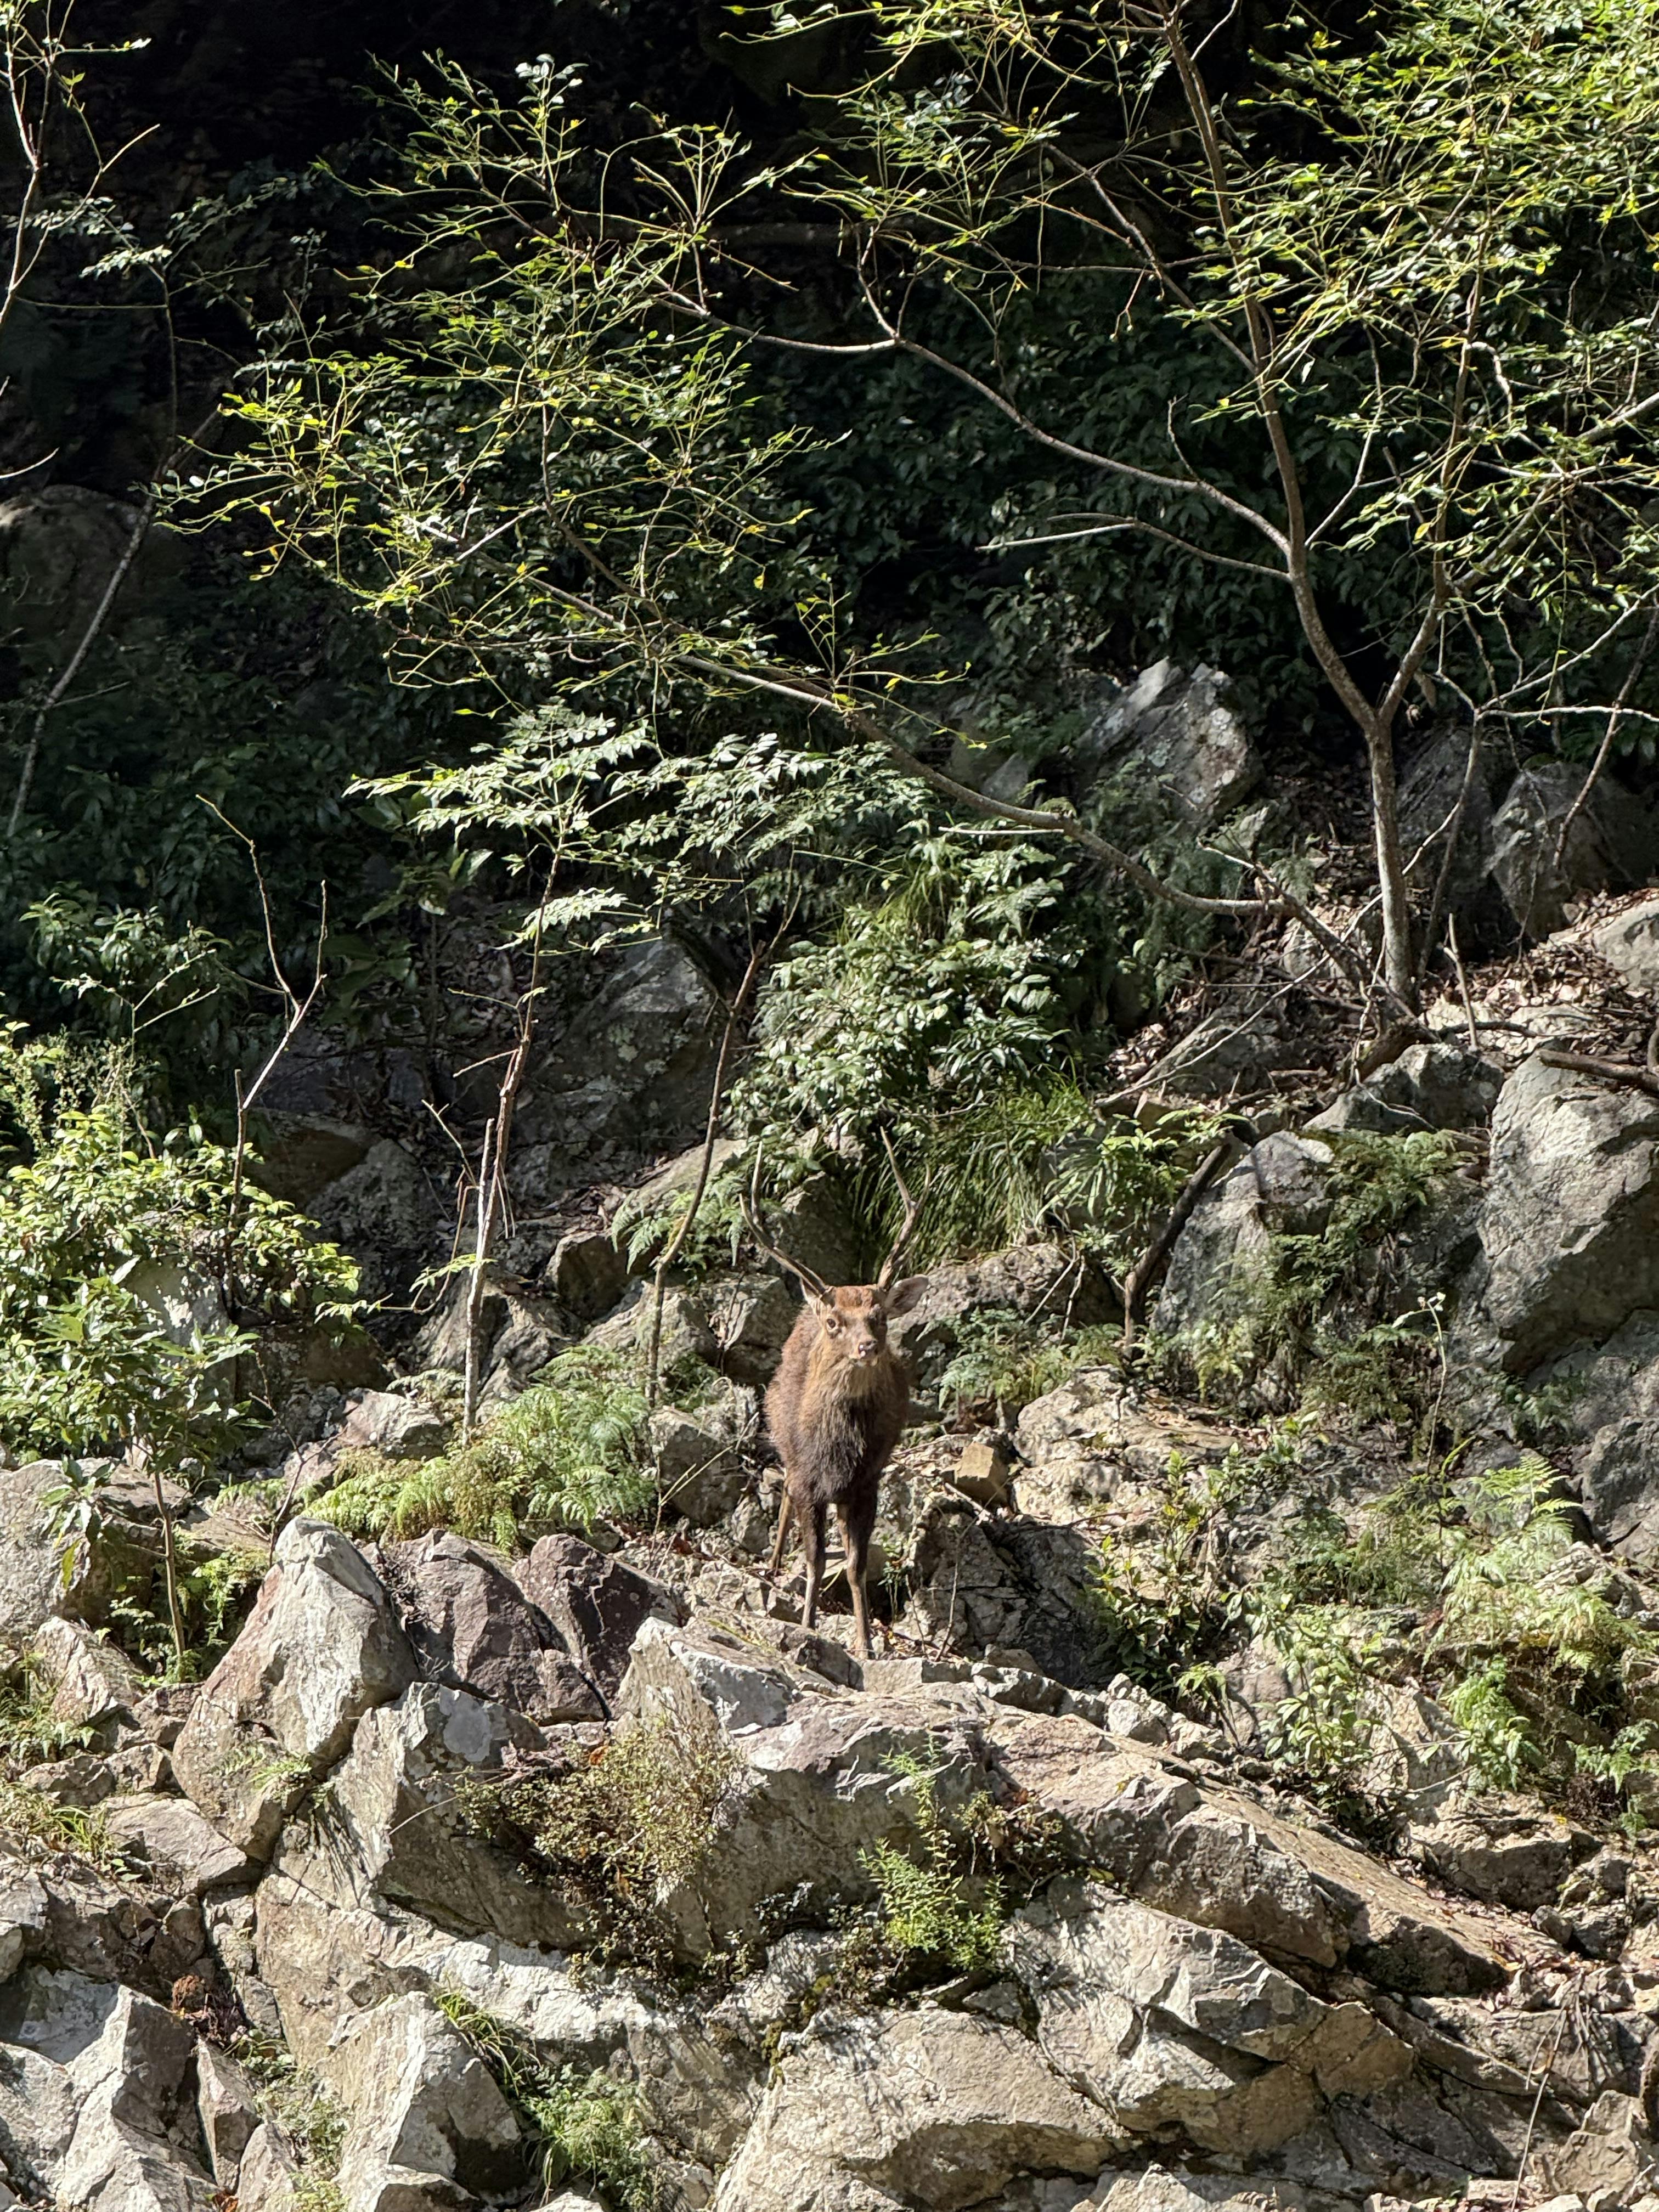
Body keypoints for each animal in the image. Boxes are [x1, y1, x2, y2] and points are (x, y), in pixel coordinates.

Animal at [742, 1162, 928, 1661]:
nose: (867, 1347)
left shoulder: (866, 1485)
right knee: (785, 1492)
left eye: (878, 1317)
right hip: (784, 1445)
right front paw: (807, 1626)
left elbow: (855, 1565)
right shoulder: (810, 1481)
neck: (837, 1451)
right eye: (834, 1322)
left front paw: (866, 1643)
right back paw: (771, 1565)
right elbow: (814, 1558)